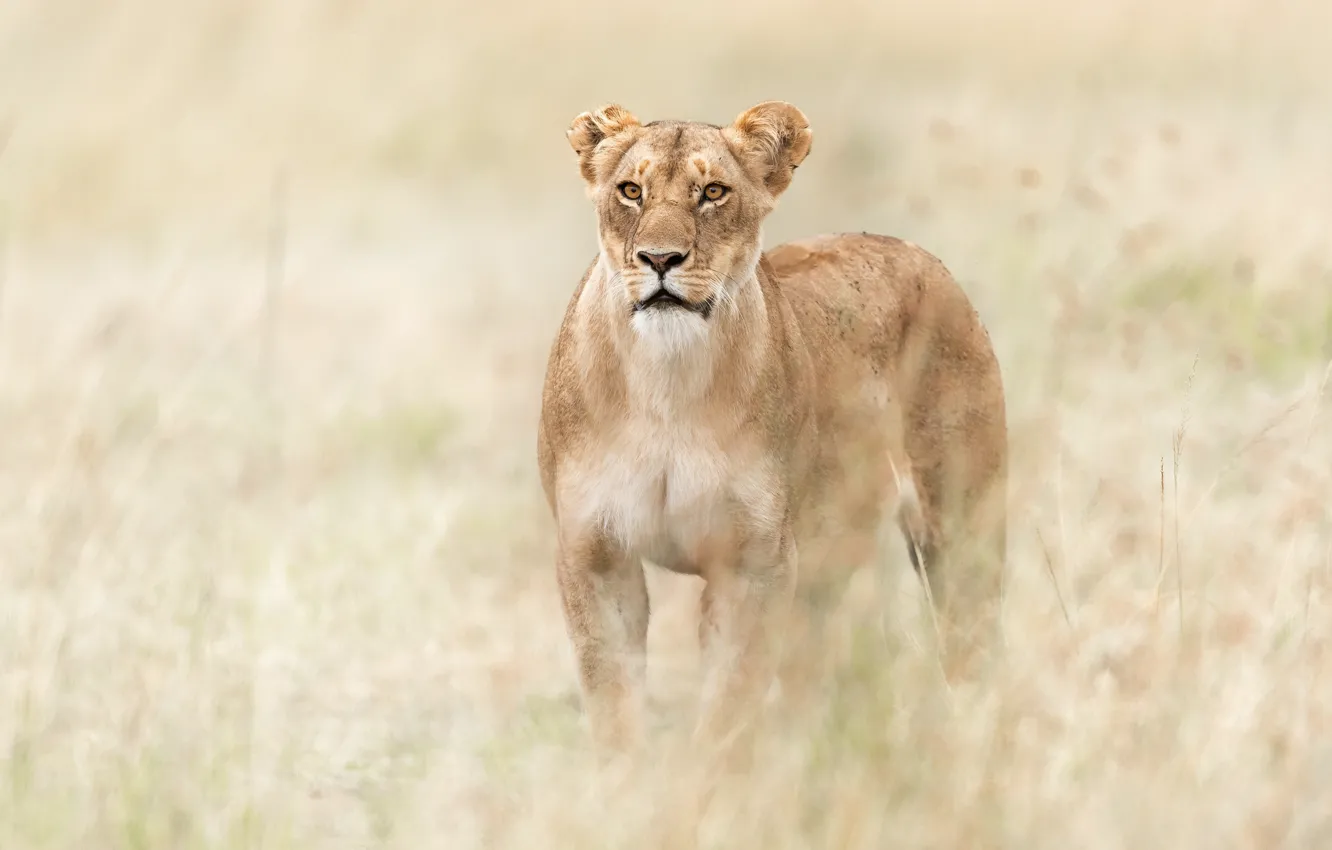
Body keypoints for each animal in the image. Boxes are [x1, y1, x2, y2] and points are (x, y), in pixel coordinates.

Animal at [536, 101, 1008, 759]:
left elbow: (729, 704)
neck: (667, 384)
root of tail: (913, 252)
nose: (659, 260)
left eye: (713, 192)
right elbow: (614, 703)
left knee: (970, 643)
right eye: (630, 190)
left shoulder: (754, 559)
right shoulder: (595, 552)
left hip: (960, 529)